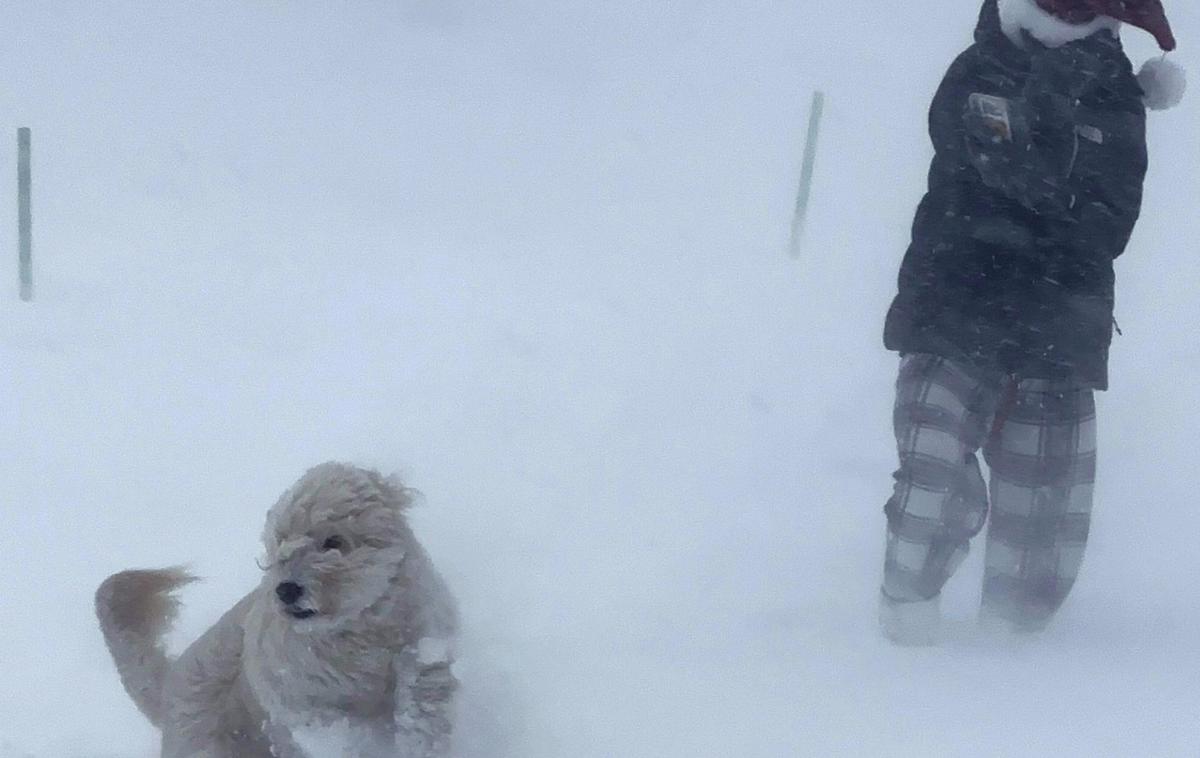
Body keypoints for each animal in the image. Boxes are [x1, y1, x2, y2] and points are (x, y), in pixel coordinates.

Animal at [93, 462, 456, 758]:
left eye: (334, 542)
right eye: (279, 542)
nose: (286, 590)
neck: (356, 632)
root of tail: (169, 686)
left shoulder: (425, 647)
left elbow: (422, 703)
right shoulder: (304, 709)